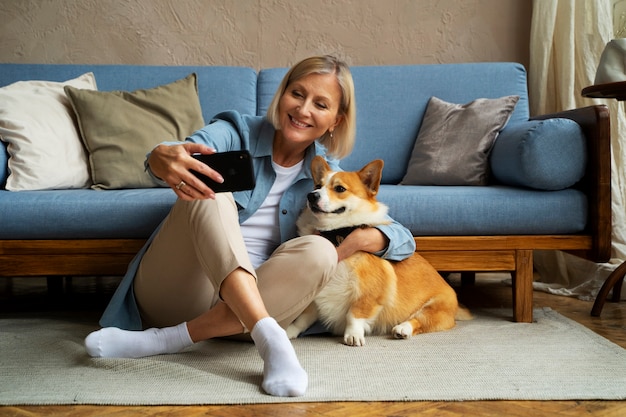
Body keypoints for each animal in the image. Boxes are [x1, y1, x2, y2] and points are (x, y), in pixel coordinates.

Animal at [286, 156, 468, 344]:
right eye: (317, 186)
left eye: (339, 188)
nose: (311, 195)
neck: (335, 235)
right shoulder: (315, 298)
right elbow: (302, 319)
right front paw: (288, 331)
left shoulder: (368, 295)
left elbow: (355, 315)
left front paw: (353, 335)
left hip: (433, 309)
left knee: (419, 320)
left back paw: (403, 329)